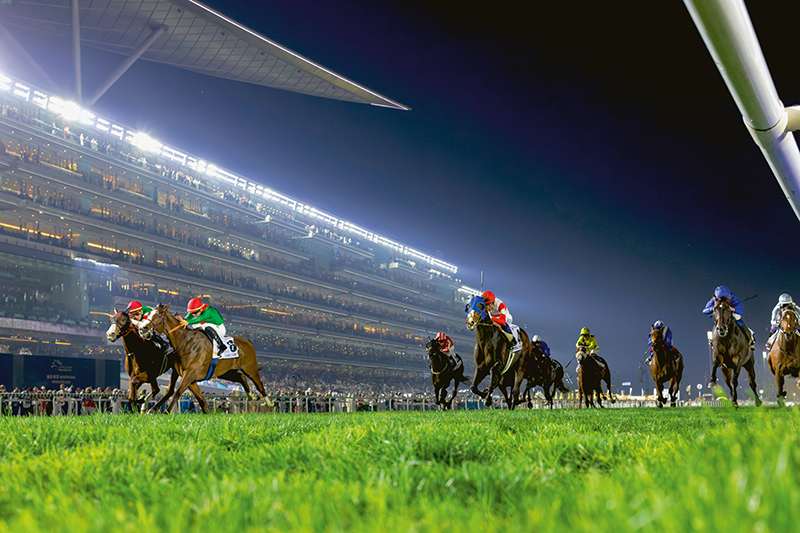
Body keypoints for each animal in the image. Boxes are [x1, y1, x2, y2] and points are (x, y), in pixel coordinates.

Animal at [147, 304, 276, 412]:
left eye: (159, 315)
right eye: (149, 313)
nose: (144, 328)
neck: (185, 342)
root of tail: (248, 342)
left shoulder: (190, 373)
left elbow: (178, 393)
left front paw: (166, 412)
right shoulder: (184, 375)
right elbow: (195, 398)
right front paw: (152, 409)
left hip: (250, 369)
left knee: (259, 386)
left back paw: (269, 403)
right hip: (226, 372)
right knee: (241, 377)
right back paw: (251, 396)